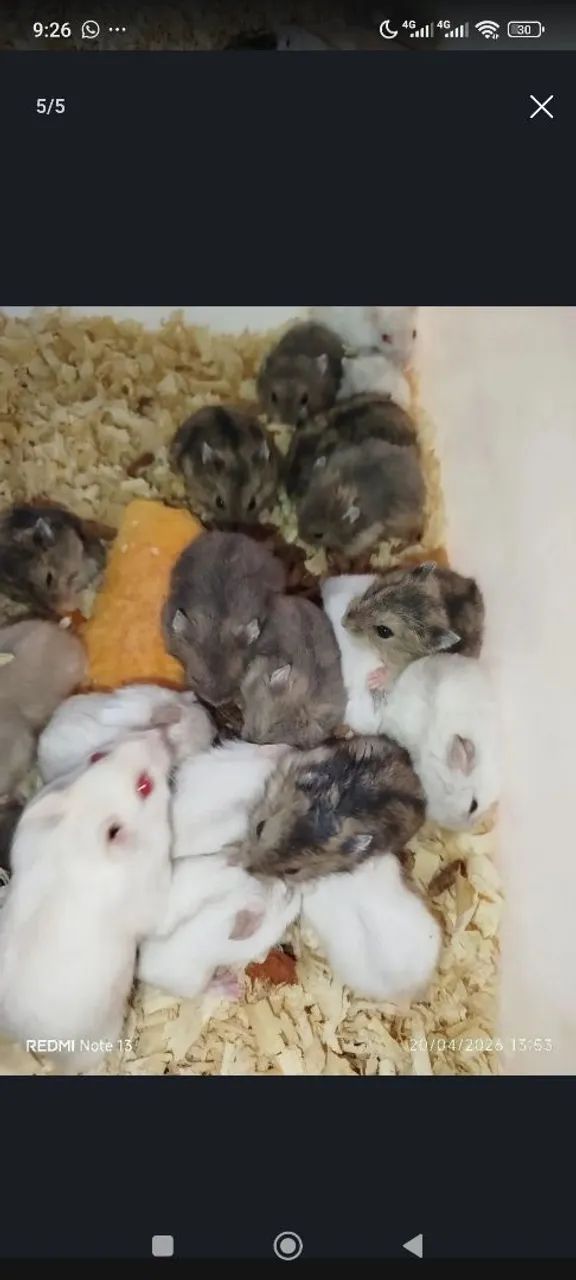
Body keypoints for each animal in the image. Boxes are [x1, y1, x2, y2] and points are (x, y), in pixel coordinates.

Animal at [343, 561, 485, 684]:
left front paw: (373, 681)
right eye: (375, 591)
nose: (343, 623)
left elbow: (394, 670)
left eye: (384, 631)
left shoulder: (403, 661)